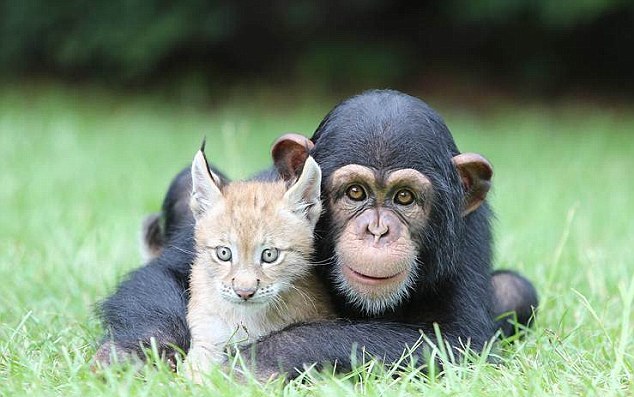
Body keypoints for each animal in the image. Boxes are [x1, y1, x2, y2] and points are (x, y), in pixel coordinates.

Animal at [96, 89, 536, 378]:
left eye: (404, 197)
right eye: (355, 193)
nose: (378, 231)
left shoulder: (465, 242)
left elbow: (456, 342)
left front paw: (254, 362)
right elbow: (165, 274)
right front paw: (133, 354)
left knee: (515, 289)